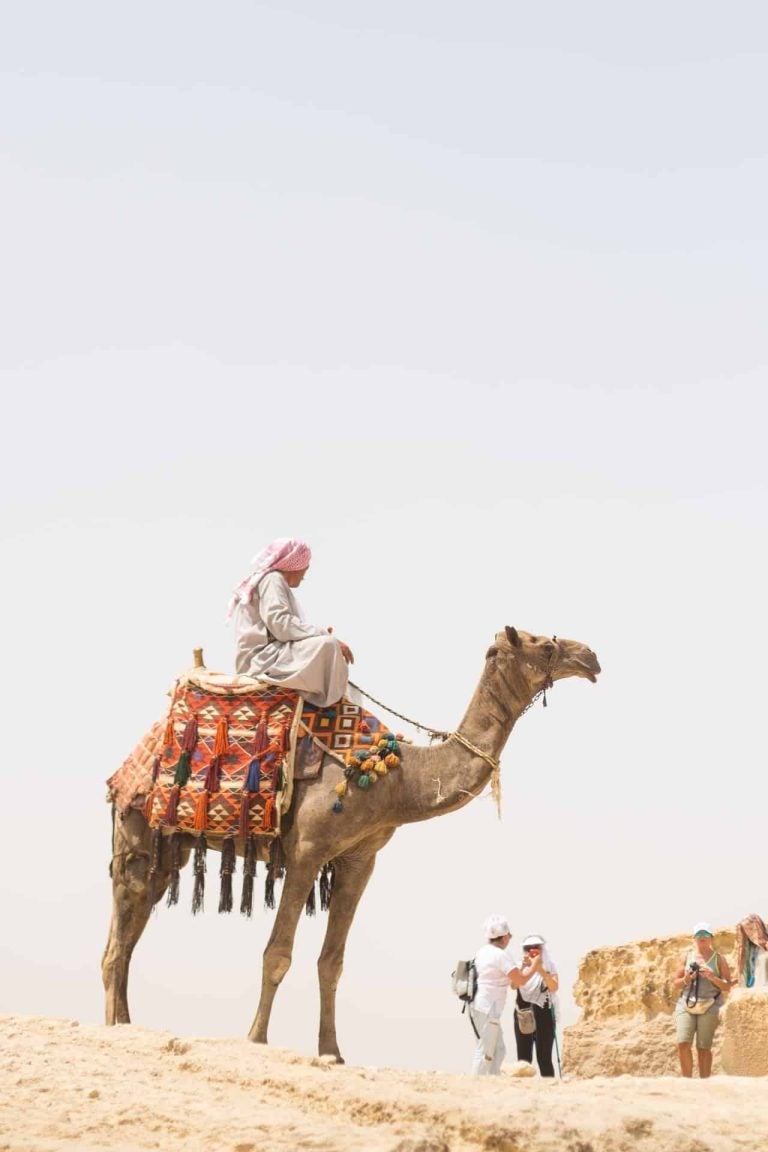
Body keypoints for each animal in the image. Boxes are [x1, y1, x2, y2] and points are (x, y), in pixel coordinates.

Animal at [103, 626, 600, 1062]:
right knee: (120, 934)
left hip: (170, 846)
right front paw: (257, 1038)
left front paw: (332, 1051)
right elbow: (277, 953)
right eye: (544, 644)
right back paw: (113, 1026)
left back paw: (124, 1025)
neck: (395, 780)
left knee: (131, 927)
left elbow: (332, 962)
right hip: (136, 825)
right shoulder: (307, 851)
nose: (590, 657)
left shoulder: (360, 859)